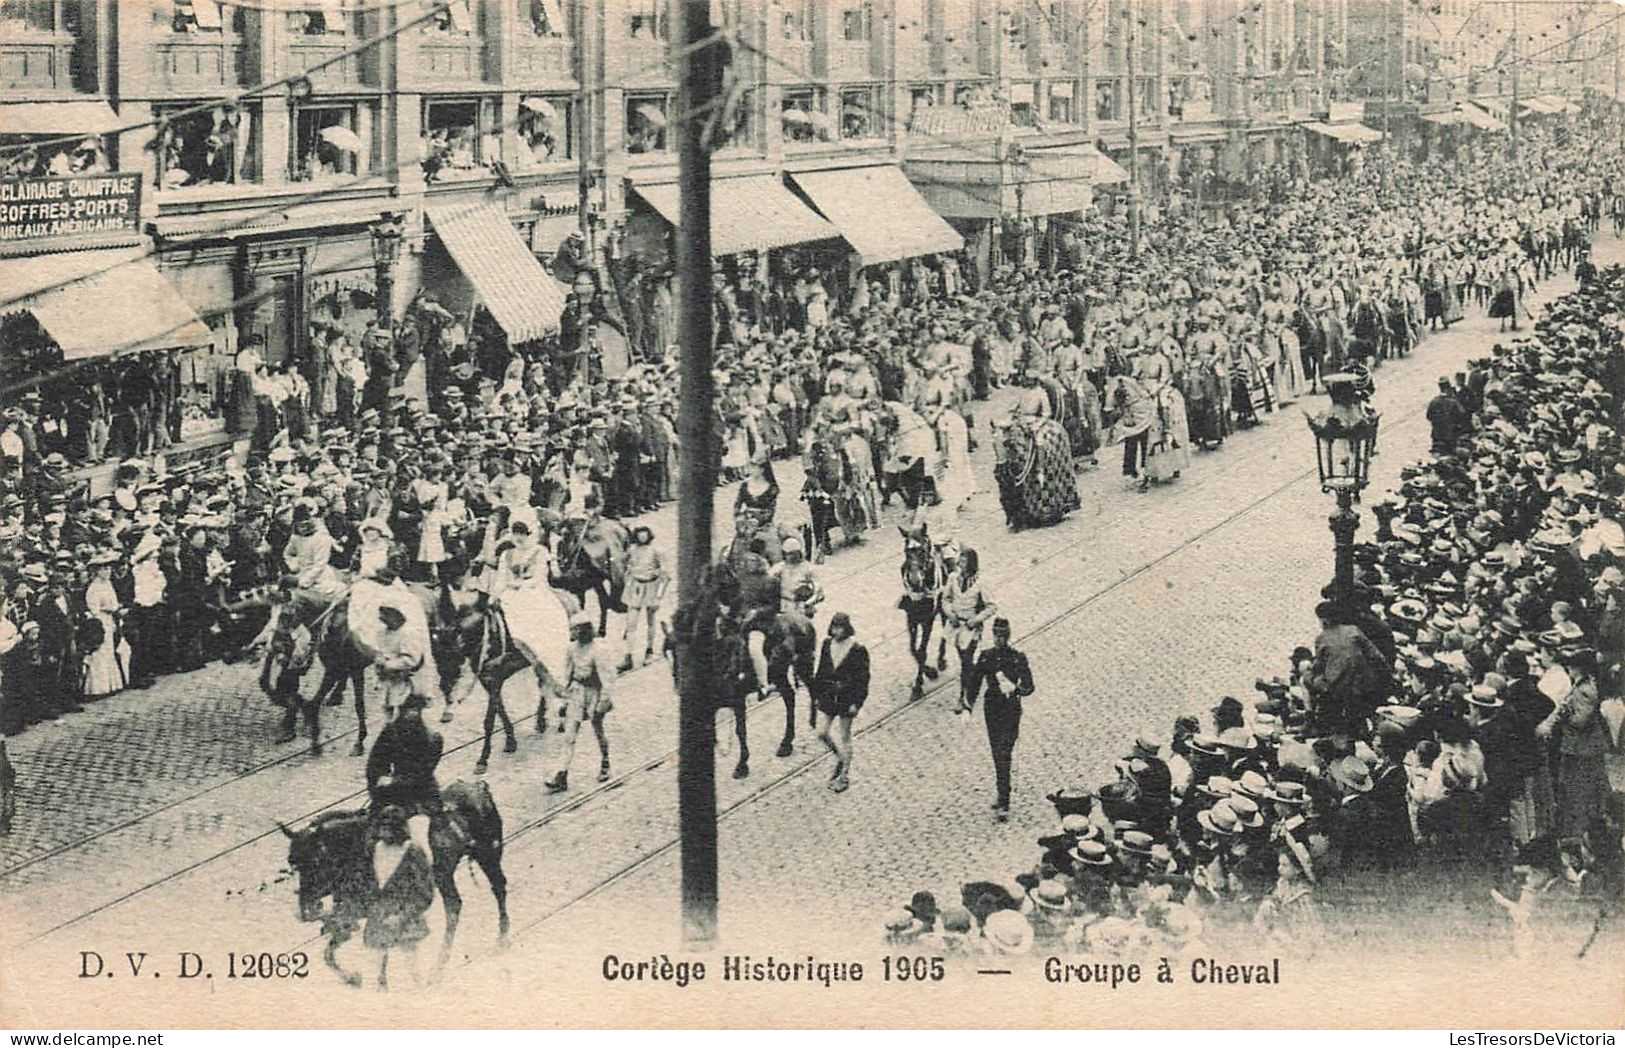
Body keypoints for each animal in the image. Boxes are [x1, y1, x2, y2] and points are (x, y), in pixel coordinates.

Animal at [279, 776, 507, 987]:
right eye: (293, 862)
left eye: (316, 860)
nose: (306, 909)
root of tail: (478, 786)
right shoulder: (354, 915)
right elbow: (330, 953)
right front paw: (354, 978)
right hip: (445, 874)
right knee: (454, 905)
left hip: (487, 855)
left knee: (496, 889)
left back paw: (499, 940)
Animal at [897, 526, 949, 698]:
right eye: (906, 551)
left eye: (922, 550)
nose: (914, 580)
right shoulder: (911, 619)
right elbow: (913, 649)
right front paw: (928, 672)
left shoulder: (928, 620)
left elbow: (921, 651)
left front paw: (918, 685)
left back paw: (941, 660)